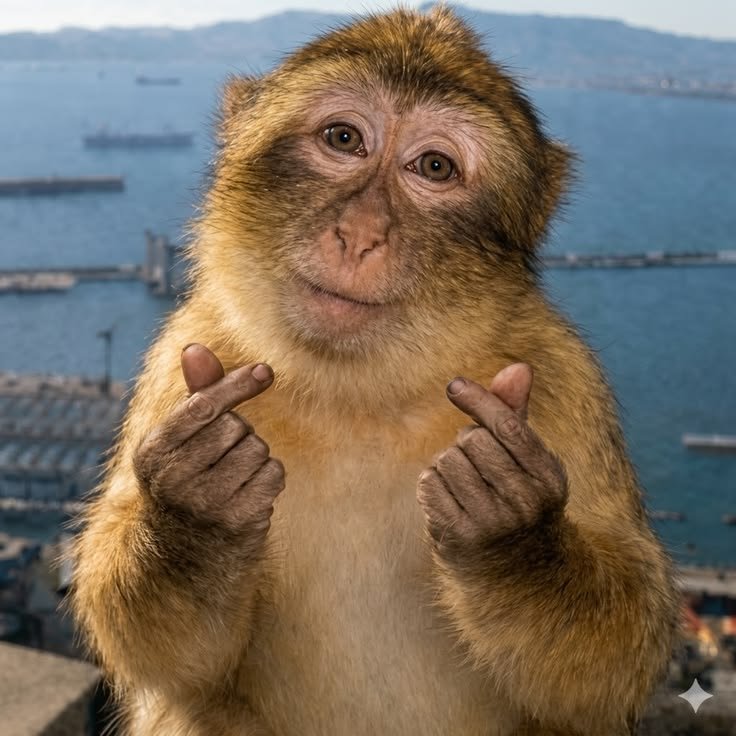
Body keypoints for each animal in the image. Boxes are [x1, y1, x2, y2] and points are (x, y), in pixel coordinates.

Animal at [70, 7, 679, 736]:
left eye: (435, 166)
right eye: (344, 138)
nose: (359, 234)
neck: (359, 391)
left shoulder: (562, 373)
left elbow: (615, 660)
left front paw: (512, 532)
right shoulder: (182, 353)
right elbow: (171, 657)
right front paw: (196, 509)